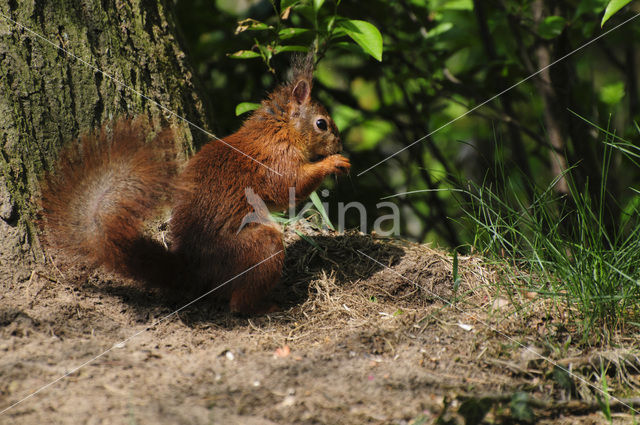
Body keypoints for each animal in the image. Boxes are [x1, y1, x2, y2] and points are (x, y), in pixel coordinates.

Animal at [41, 54, 350, 314]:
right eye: (322, 124)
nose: (339, 144)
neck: (279, 129)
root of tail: (192, 272)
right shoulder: (276, 161)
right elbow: (292, 186)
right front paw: (334, 162)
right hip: (258, 247)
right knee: (238, 304)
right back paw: (266, 307)